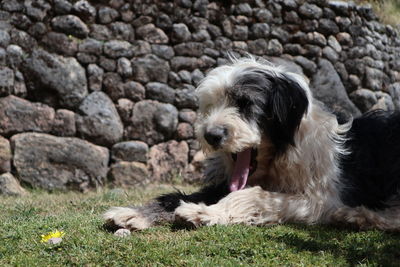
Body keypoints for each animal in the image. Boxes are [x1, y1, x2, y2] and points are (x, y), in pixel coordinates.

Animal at [104, 57, 400, 232]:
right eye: (210, 104)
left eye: (245, 103)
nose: (211, 135)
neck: (280, 157)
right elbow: (177, 196)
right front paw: (134, 213)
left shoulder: (321, 197)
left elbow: (254, 194)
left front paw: (205, 212)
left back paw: (360, 217)